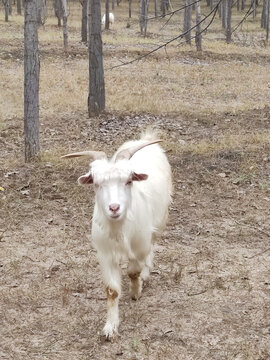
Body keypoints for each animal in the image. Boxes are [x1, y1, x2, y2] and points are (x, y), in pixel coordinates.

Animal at [62, 131, 172, 338]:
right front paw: (110, 327)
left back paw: (145, 275)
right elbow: (111, 290)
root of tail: (146, 139)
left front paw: (136, 291)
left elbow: (133, 271)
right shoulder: (105, 254)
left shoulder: (140, 246)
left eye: (129, 181)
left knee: (152, 248)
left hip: (159, 222)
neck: (119, 229)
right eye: (96, 184)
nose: (114, 207)